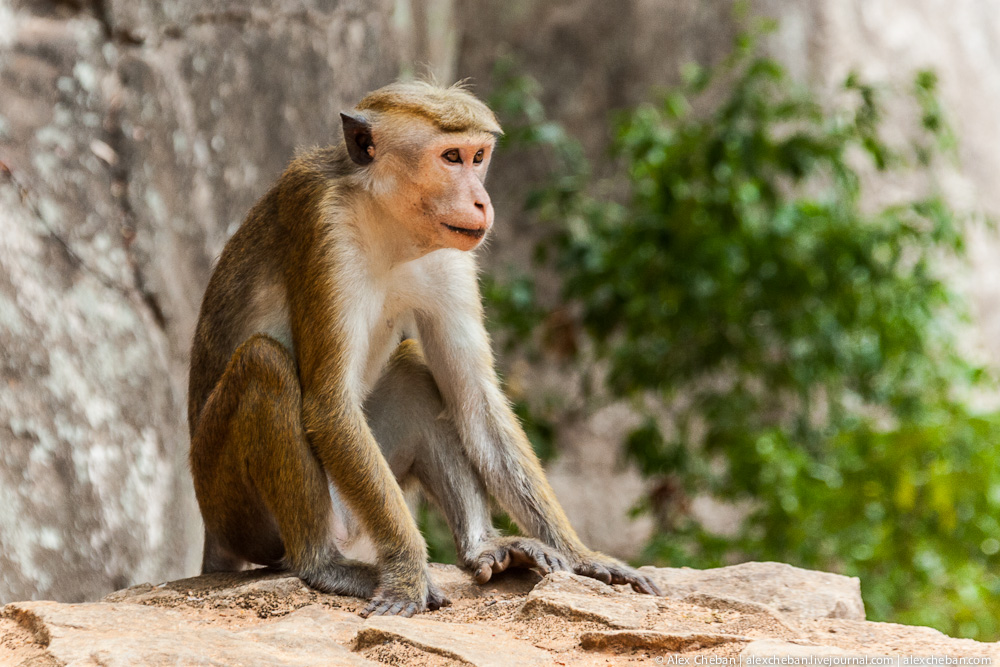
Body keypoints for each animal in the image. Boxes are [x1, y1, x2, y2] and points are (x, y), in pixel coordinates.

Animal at [188, 81, 664, 620]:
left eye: (478, 157)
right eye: (450, 157)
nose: (481, 202)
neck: (385, 220)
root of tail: (211, 529)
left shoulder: (449, 254)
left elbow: (475, 400)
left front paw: (582, 555)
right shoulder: (323, 229)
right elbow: (330, 406)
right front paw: (408, 573)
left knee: (416, 371)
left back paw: (483, 546)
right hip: (235, 508)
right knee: (263, 364)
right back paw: (323, 564)